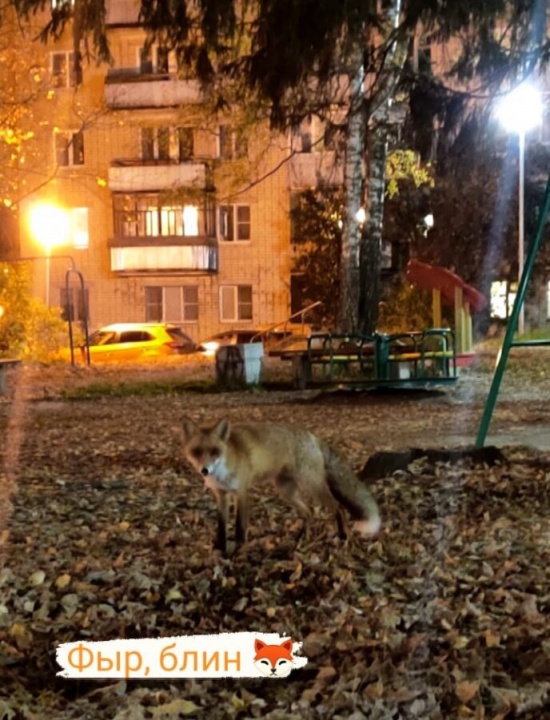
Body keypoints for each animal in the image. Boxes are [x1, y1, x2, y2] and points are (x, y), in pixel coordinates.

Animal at [181, 416, 381, 553]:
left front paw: (239, 551)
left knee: (337, 506)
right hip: (286, 491)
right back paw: (303, 538)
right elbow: (221, 526)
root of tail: (312, 436)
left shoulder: (242, 493)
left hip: (312, 485)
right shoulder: (221, 495)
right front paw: (221, 550)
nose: (205, 470)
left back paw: (343, 535)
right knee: (308, 512)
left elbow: (239, 527)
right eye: (197, 452)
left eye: (214, 451)